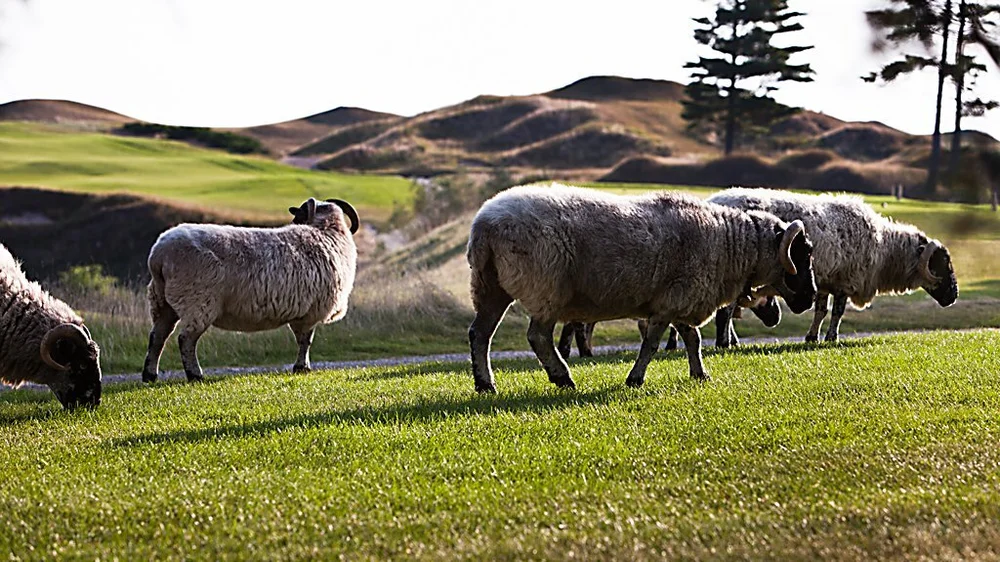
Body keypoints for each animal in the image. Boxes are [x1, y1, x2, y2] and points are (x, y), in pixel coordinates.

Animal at [141, 198, 359, 383]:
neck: (326, 232)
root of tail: (158, 255)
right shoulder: (310, 312)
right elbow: (305, 341)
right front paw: (301, 367)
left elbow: (303, 340)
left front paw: (301, 367)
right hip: (197, 301)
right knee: (185, 339)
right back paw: (195, 375)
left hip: (162, 302)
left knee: (158, 337)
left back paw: (150, 375)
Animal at [466, 184, 817, 392]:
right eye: (804, 253)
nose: (811, 297)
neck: (731, 245)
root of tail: (485, 224)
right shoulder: (671, 301)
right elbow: (651, 344)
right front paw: (635, 379)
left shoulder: (678, 300)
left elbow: (693, 339)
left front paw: (700, 374)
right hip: (545, 287)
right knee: (537, 336)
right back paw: (563, 377)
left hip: (490, 286)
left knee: (480, 333)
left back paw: (486, 385)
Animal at [706, 188, 958, 344]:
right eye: (942, 263)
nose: (953, 296)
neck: (885, 249)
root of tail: (713, 202)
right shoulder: (846, 281)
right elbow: (837, 312)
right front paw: (831, 338)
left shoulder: (825, 281)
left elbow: (821, 311)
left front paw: (812, 338)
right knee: (727, 309)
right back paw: (725, 343)